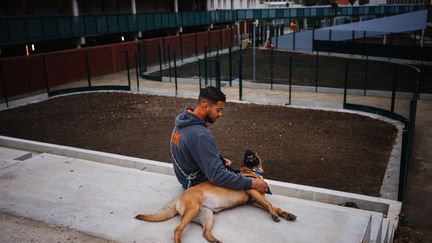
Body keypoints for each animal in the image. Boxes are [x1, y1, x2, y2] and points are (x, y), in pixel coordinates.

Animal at [136, 150, 296, 243]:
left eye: (253, 153)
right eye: (247, 155)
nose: (247, 150)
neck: (252, 171)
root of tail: (178, 200)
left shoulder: (256, 200)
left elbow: (274, 206)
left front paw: (285, 214)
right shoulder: (254, 193)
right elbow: (270, 205)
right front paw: (275, 215)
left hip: (207, 215)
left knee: (205, 233)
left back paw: (215, 241)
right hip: (193, 209)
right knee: (177, 230)